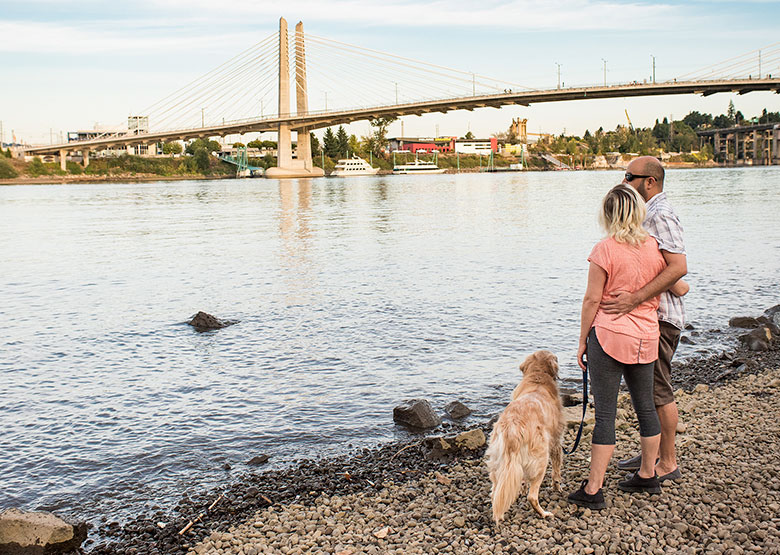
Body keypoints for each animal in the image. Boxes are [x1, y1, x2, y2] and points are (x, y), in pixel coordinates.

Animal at [484, 352, 564, 520]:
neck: (537, 377)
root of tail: (512, 429)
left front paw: (521, 488)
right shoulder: (556, 441)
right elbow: (556, 469)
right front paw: (557, 486)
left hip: (497, 461)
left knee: (495, 493)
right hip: (541, 460)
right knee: (532, 496)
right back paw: (544, 513)